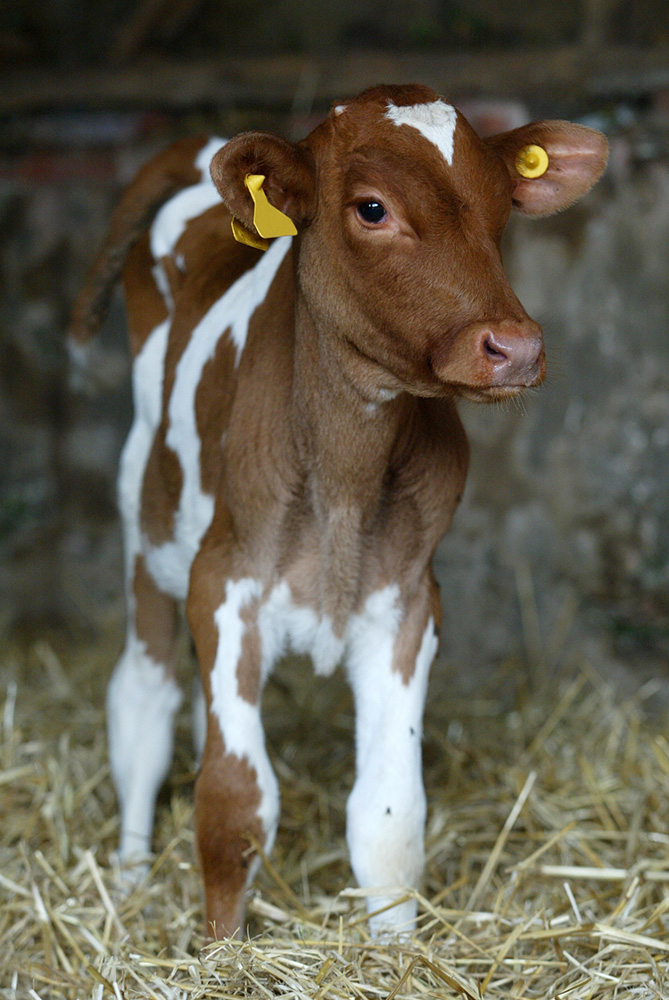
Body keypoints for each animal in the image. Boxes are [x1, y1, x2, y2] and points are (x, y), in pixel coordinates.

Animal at [71, 83, 608, 938]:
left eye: (502, 207)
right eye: (371, 208)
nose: (515, 347)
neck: (342, 483)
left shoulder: (406, 605)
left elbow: (387, 818)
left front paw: (394, 948)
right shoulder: (222, 585)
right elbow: (233, 805)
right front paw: (220, 950)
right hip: (144, 534)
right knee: (141, 707)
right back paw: (125, 879)